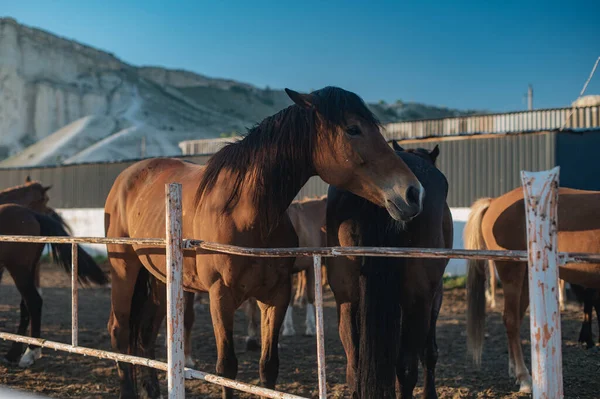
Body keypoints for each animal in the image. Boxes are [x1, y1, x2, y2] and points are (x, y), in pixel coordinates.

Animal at [103, 86, 424, 398]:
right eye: (353, 129)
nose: (413, 193)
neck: (244, 213)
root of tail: (126, 178)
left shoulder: (276, 296)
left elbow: (268, 367)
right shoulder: (220, 297)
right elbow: (226, 368)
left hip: (159, 279)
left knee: (145, 334)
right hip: (124, 270)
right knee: (119, 330)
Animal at [326, 142, 452, 398]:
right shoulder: (435, 295)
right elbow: (429, 352)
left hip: (346, 296)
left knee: (354, 365)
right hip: (419, 298)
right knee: (406, 368)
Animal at [464, 188, 600, 394]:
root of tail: (494, 201)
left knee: (516, 319)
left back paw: (515, 370)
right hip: (512, 273)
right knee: (511, 319)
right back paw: (524, 377)